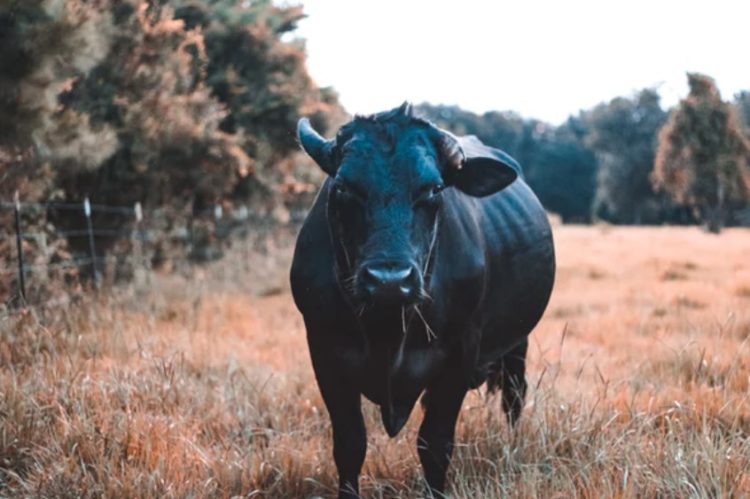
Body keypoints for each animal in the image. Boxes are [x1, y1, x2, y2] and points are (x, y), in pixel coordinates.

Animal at [290, 103, 555, 498]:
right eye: (343, 187)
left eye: (433, 190)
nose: (389, 281)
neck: (386, 332)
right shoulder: (324, 352)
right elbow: (350, 444)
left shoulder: (460, 354)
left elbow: (435, 444)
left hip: (517, 341)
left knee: (514, 395)